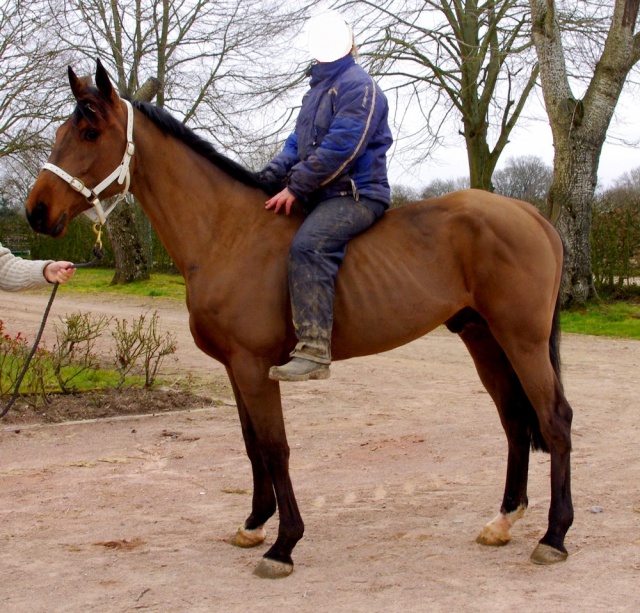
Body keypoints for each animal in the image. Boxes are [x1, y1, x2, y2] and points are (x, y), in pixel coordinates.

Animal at [26, 62, 576, 580]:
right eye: (61, 130)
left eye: (89, 133)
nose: (36, 211)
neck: (229, 233)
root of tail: (532, 215)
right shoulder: (235, 368)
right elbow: (252, 446)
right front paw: (253, 525)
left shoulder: (255, 366)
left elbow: (276, 447)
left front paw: (283, 545)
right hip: (483, 338)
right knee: (514, 419)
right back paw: (504, 521)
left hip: (521, 339)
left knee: (554, 418)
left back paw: (554, 536)